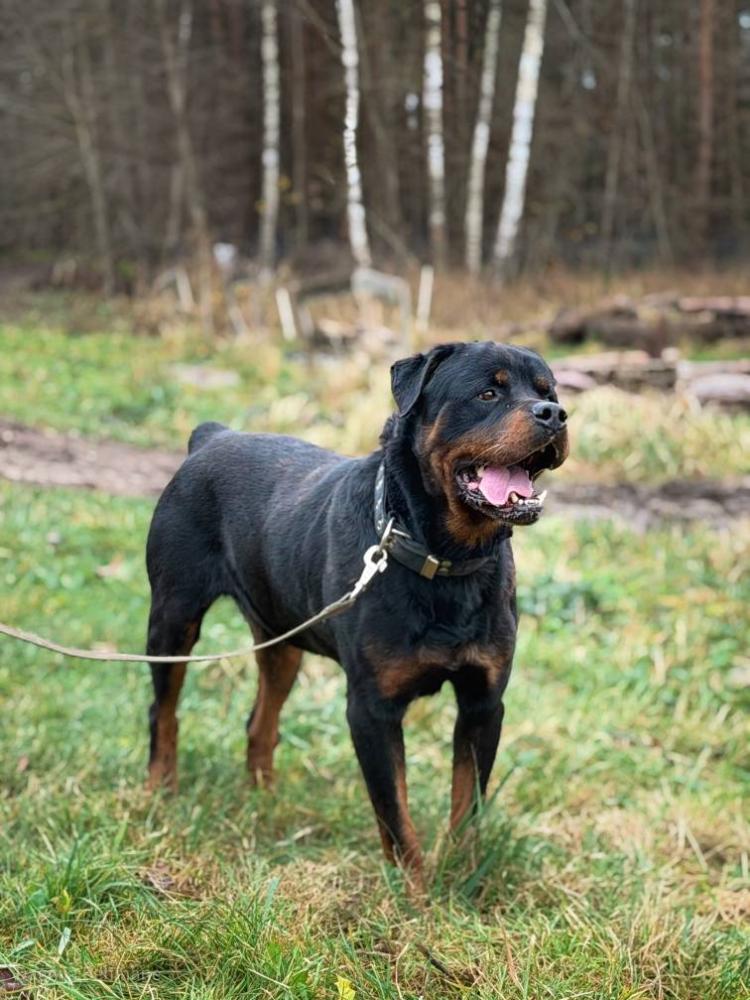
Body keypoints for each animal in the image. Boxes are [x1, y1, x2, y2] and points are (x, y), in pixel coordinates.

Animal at [145, 341, 568, 890]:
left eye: (549, 392)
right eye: (488, 393)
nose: (553, 415)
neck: (443, 559)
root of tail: (212, 437)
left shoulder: (483, 701)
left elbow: (466, 803)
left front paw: (462, 875)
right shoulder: (371, 708)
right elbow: (394, 810)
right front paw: (416, 892)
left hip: (280, 636)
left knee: (260, 720)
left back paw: (264, 802)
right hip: (173, 617)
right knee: (163, 710)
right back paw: (160, 791)